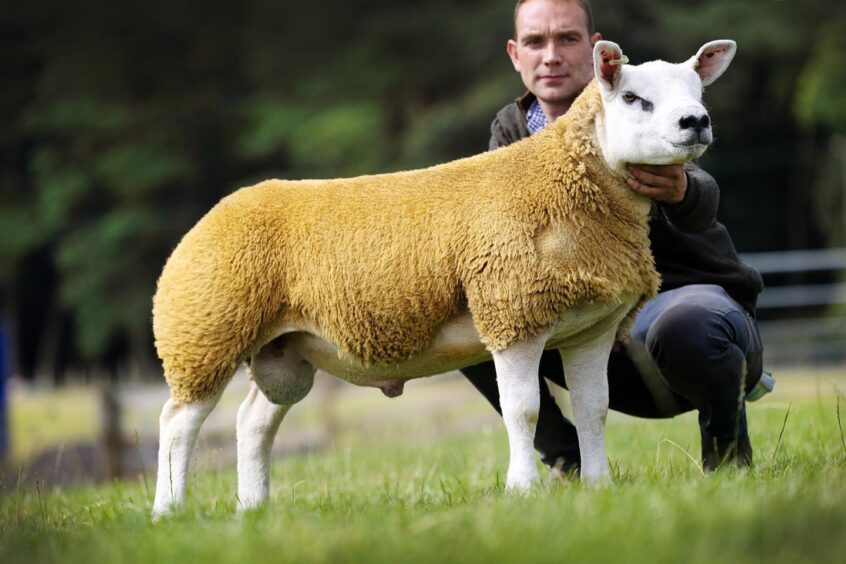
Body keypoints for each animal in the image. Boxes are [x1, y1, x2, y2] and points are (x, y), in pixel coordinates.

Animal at [151, 39, 736, 520]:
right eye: (634, 98)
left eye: (696, 90)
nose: (696, 121)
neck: (566, 183)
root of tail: (216, 212)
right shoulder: (512, 312)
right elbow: (523, 410)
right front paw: (522, 491)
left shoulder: (592, 328)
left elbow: (594, 410)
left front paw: (599, 488)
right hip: (204, 330)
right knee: (178, 423)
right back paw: (169, 511)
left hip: (284, 348)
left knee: (252, 424)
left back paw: (254, 509)